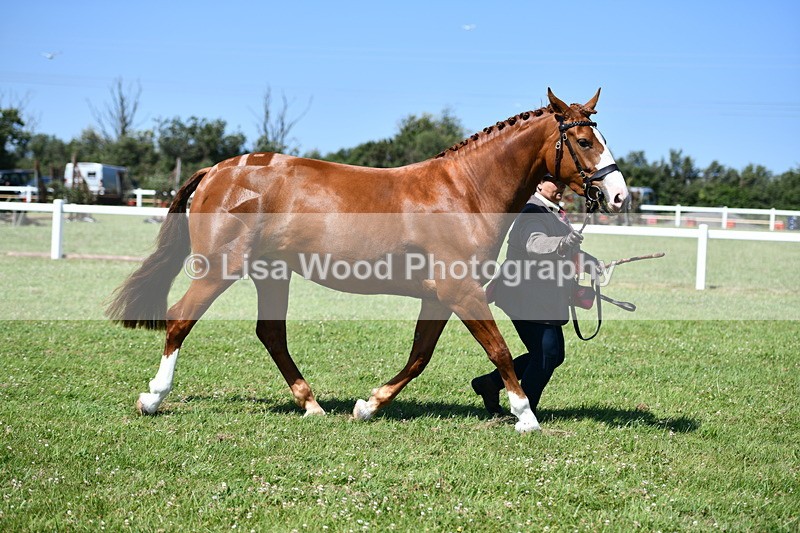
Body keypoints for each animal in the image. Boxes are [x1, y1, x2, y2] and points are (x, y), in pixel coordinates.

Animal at [107, 88, 628, 433]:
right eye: (585, 141)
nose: (619, 194)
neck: (464, 192)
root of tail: (218, 170)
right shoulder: (461, 292)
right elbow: (498, 350)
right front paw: (525, 416)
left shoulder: (439, 297)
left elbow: (419, 356)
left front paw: (369, 405)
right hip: (220, 269)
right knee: (180, 319)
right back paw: (152, 398)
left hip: (270, 273)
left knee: (271, 334)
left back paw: (312, 405)